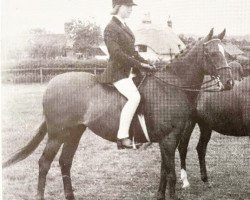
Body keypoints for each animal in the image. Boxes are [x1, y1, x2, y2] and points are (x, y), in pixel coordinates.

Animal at [2, 28, 232, 200]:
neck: (172, 86)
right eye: (212, 54)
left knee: (64, 162)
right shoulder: (168, 139)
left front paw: (159, 195)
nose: (229, 83)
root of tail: (52, 83)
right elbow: (171, 174)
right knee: (44, 163)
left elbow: (163, 172)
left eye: (226, 53)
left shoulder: (165, 140)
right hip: (57, 135)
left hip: (74, 133)